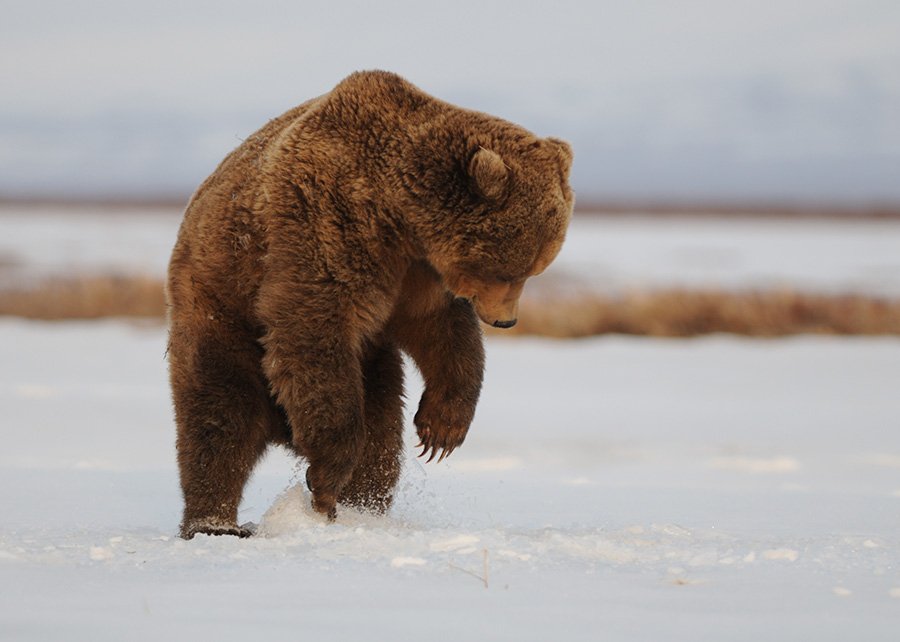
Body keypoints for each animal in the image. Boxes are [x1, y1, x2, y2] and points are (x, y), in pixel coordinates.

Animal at [165, 72, 572, 536]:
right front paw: (326, 476)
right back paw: (215, 522)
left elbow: (440, 330)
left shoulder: (417, 273)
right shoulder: (328, 223)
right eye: (508, 270)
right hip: (220, 306)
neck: (397, 215)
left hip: (373, 361)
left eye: (534, 269)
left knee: (381, 434)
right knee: (219, 417)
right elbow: (313, 330)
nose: (506, 321)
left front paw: (441, 430)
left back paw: (363, 507)